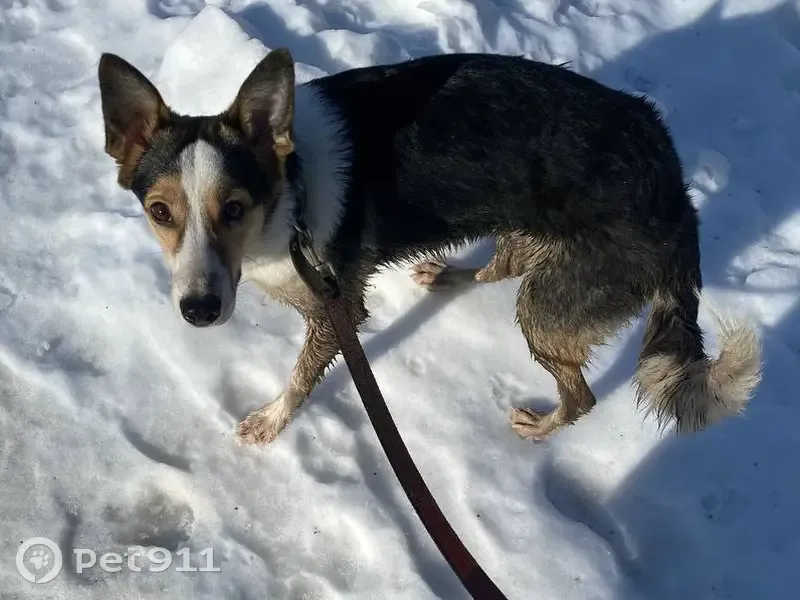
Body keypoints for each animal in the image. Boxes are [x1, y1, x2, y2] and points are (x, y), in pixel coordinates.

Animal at [97, 48, 761, 446]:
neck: (291, 186)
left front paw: (272, 420)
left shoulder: (336, 307)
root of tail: (675, 190)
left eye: (233, 209)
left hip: (550, 307)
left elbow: (302, 376)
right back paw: (448, 277)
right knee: (503, 267)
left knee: (583, 394)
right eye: (160, 213)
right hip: (527, 229)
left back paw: (541, 426)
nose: (199, 312)